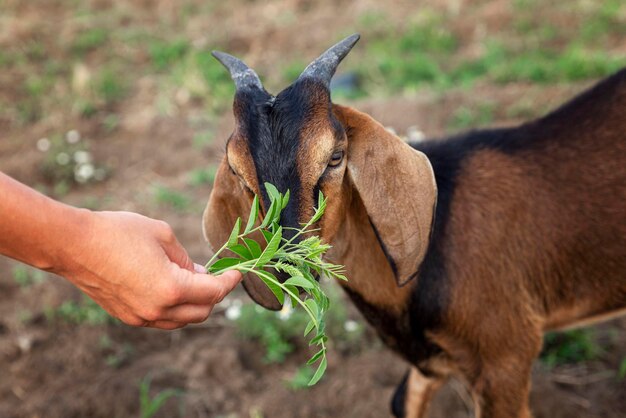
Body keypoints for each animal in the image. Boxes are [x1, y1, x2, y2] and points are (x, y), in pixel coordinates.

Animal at [202, 34, 620, 416]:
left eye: (336, 156)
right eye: (240, 174)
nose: (289, 264)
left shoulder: (507, 358)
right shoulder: (431, 362)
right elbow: (402, 400)